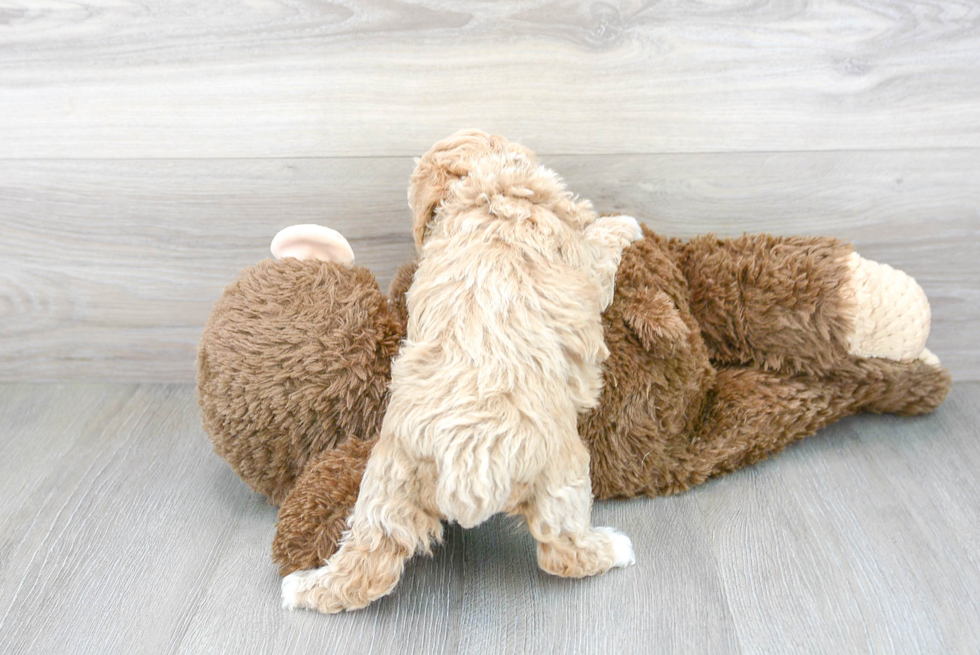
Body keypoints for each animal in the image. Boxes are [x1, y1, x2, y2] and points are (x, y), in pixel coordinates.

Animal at [282, 131, 644, 612]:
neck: (484, 187)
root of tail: (466, 457)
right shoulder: (579, 256)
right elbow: (599, 245)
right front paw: (623, 224)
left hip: (388, 485)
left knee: (367, 565)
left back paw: (303, 587)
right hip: (560, 471)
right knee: (561, 549)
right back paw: (612, 549)